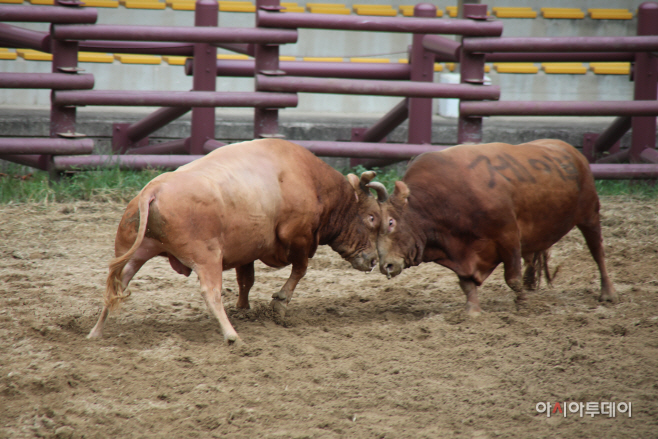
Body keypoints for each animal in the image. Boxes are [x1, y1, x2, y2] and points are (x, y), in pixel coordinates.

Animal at [88, 139, 384, 346]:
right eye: (372, 217)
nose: (373, 261)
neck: (311, 180)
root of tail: (153, 190)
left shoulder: (248, 249)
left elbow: (246, 280)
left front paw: (244, 308)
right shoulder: (298, 237)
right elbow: (299, 270)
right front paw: (280, 302)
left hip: (136, 252)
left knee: (116, 285)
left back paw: (96, 331)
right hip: (207, 257)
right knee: (211, 293)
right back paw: (231, 335)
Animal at [374, 139, 616, 314]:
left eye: (391, 222)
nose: (385, 266)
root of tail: (573, 151)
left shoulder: (508, 236)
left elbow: (512, 279)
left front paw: (522, 305)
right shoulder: (460, 251)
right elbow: (467, 284)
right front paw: (473, 312)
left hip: (589, 214)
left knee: (597, 252)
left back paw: (608, 293)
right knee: (533, 256)